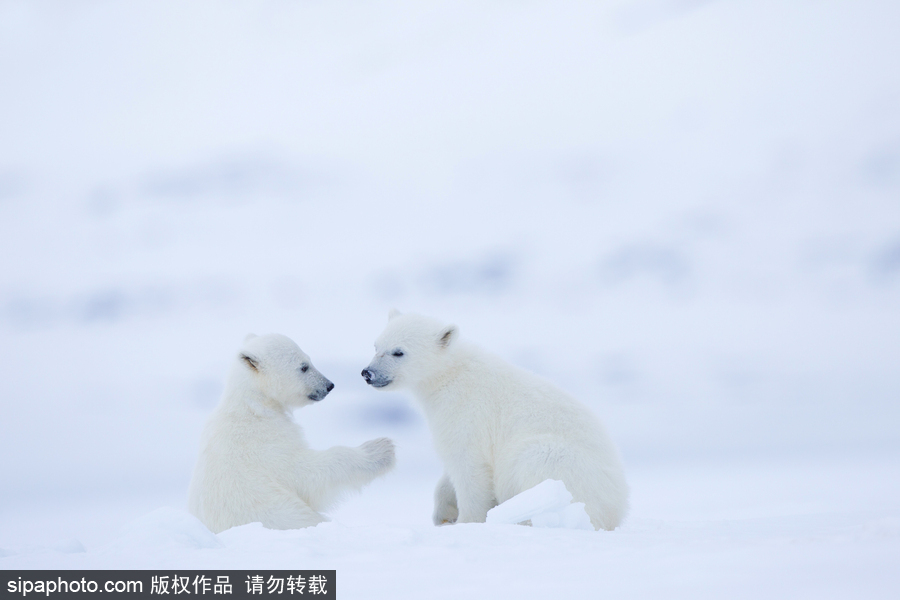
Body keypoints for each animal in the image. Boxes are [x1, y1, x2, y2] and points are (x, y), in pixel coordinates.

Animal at [188, 333, 395, 534]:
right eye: (303, 367)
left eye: (309, 360)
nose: (329, 385)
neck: (254, 406)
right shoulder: (264, 443)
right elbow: (304, 473)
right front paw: (381, 449)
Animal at [361, 311, 628, 531]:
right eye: (376, 345)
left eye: (399, 351)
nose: (367, 373)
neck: (450, 375)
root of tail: (615, 512)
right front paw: (444, 513)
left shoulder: (466, 414)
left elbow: (469, 468)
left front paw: (466, 521)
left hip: (560, 463)